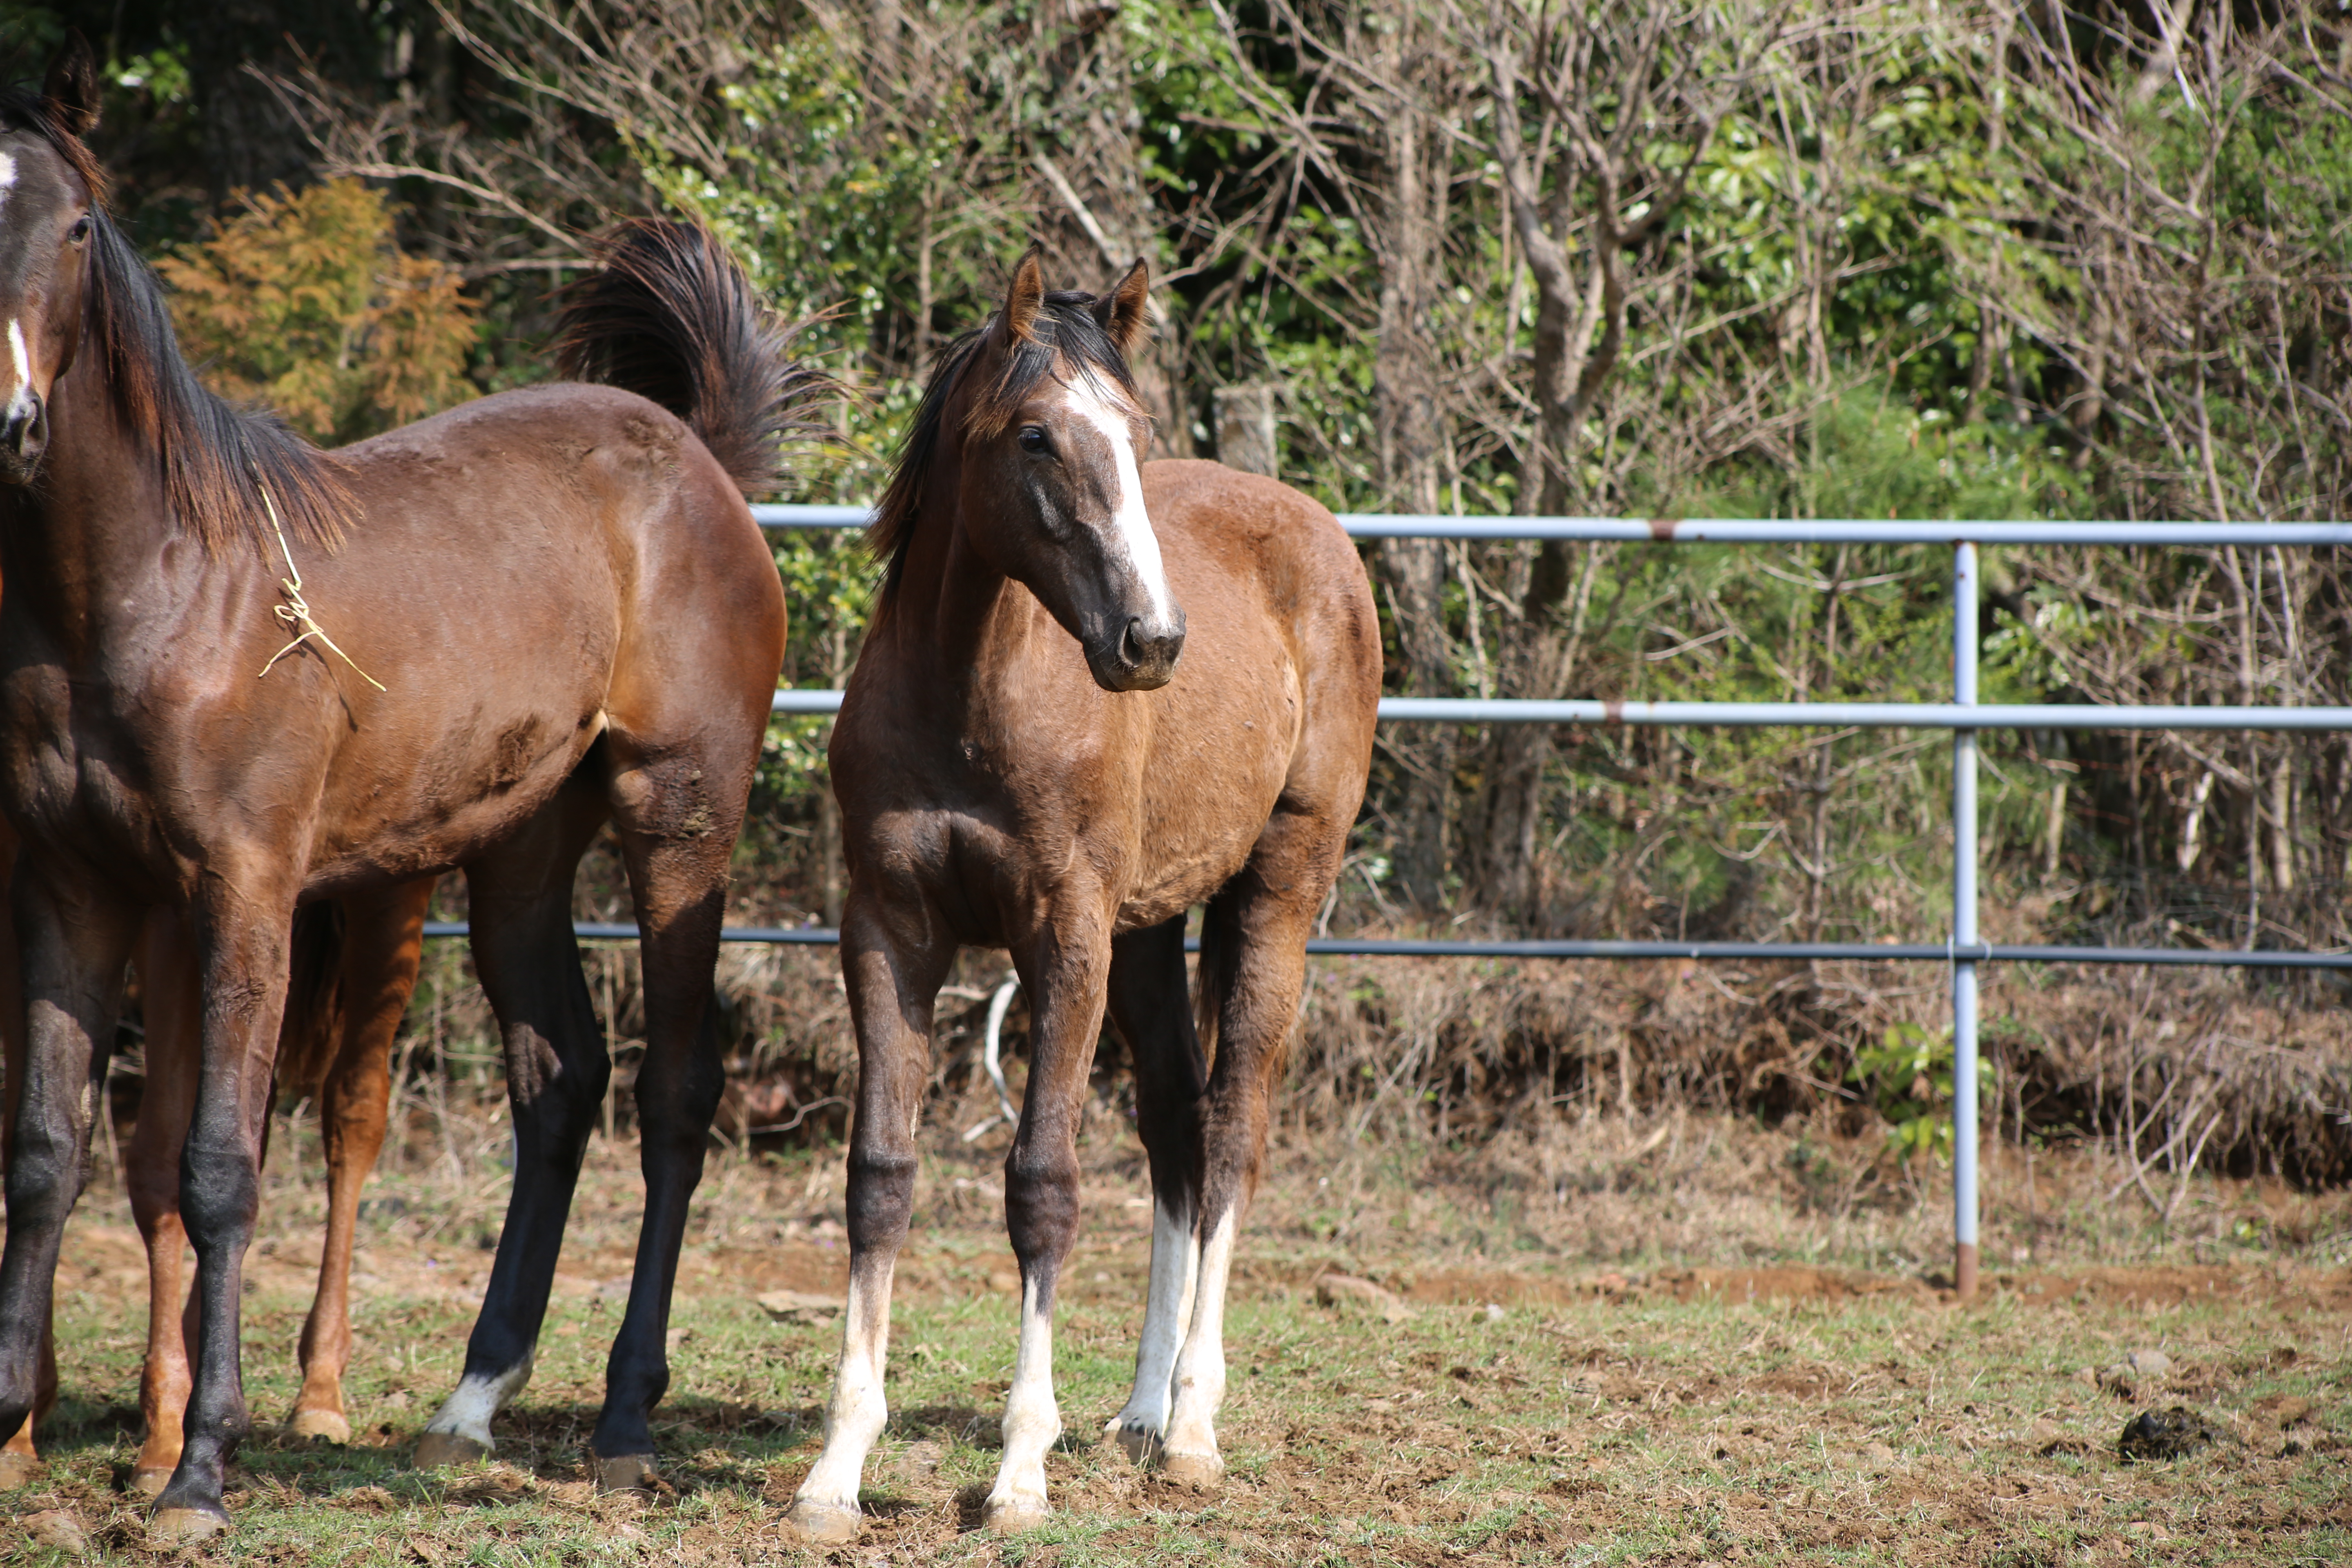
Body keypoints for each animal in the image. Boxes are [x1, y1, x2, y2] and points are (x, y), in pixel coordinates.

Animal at [790, 252, 1373, 1542]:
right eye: (1035, 438)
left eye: (1135, 434)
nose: (1150, 641)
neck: (970, 694)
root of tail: (1319, 533)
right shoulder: (888, 933)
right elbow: (879, 1179)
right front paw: (836, 1468)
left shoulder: (1063, 938)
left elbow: (1042, 1188)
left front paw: (1019, 1472)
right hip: (1149, 933)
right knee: (1175, 1135)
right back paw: (1144, 1413)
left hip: (1275, 893)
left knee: (1232, 1129)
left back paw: (1195, 1429)